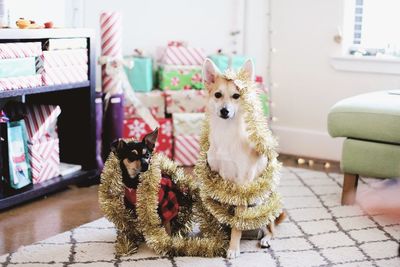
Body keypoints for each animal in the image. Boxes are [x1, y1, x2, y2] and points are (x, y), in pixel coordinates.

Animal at [203, 59, 284, 260]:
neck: (226, 134)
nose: (225, 110)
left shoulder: (242, 183)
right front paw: (216, 235)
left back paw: (265, 239)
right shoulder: (215, 177)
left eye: (236, 96)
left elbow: (237, 223)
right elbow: (218, 212)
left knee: (270, 229)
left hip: (263, 204)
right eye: (217, 95)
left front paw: (233, 248)